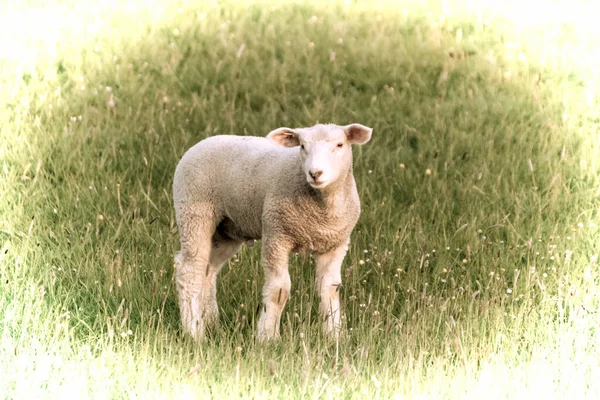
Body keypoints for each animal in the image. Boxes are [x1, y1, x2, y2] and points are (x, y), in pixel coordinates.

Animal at [171, 122, 372, 340]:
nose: (315, 173)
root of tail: (202, 142)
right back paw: (194, 330)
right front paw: (268, 336)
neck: (323, 208)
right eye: (302, 146)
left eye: (339, 144)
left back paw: (211, 323)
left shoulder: (335, 245)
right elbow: (279, 290)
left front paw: (335, 335)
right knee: (191, 270)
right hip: (194, 212)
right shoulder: (276, 235)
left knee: (209, 270)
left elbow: (330, 288)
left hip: (227, 230)